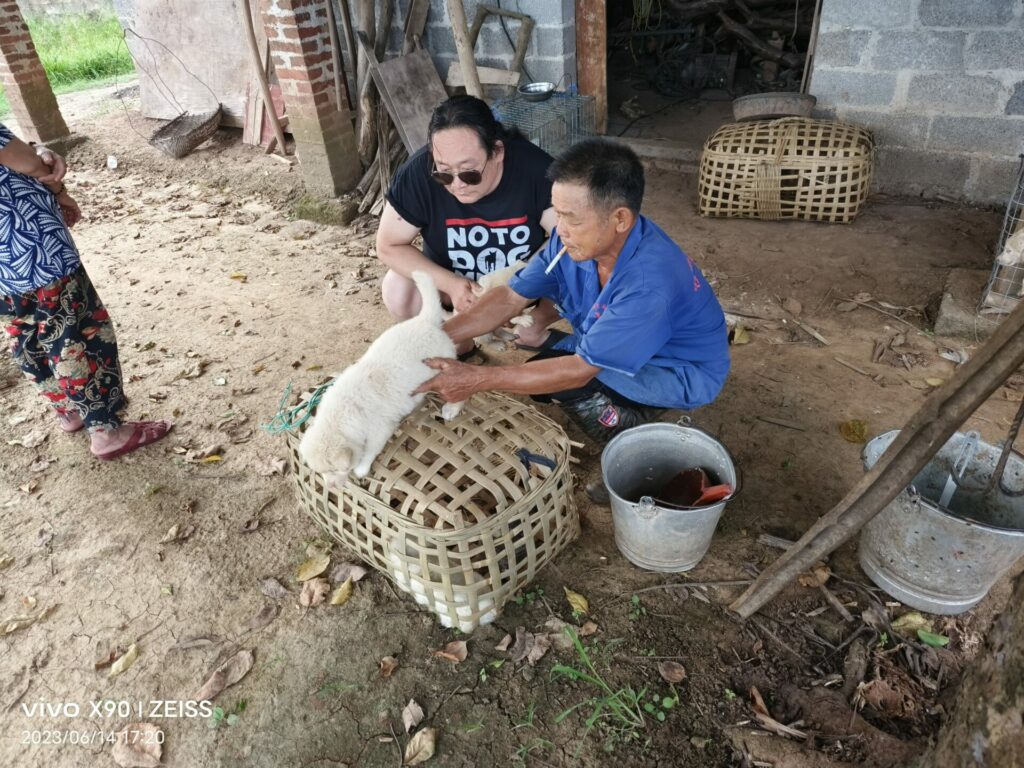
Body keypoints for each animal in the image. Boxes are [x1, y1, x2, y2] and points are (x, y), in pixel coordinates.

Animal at [299, 274, 464, 483]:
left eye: (334, 471)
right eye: (323, 472)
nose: (330, 486)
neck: (341, 415)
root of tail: (426, 320)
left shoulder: (380, 428)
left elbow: (370, 449)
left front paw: (361, 469)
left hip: (444, 369)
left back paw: (451, 409)